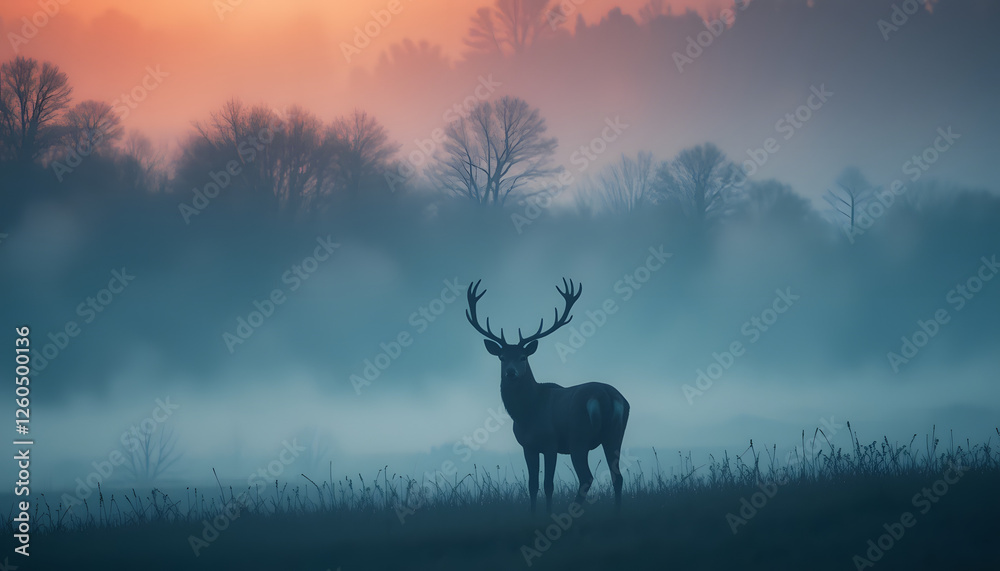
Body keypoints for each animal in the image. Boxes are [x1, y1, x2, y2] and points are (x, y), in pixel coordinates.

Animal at [465, 278, 630, 514]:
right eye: (502, 357)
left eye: (523, 356)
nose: (511, 373)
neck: (527, 412)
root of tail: (606, 396)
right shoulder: (528, 446)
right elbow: (532, 485)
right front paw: (533, 515)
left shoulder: (550, 442)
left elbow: (547, 485)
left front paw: (546, 515)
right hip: (615, 434)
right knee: (618, 477)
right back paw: (617, 513)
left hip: (579, 436)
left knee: (586, 478)